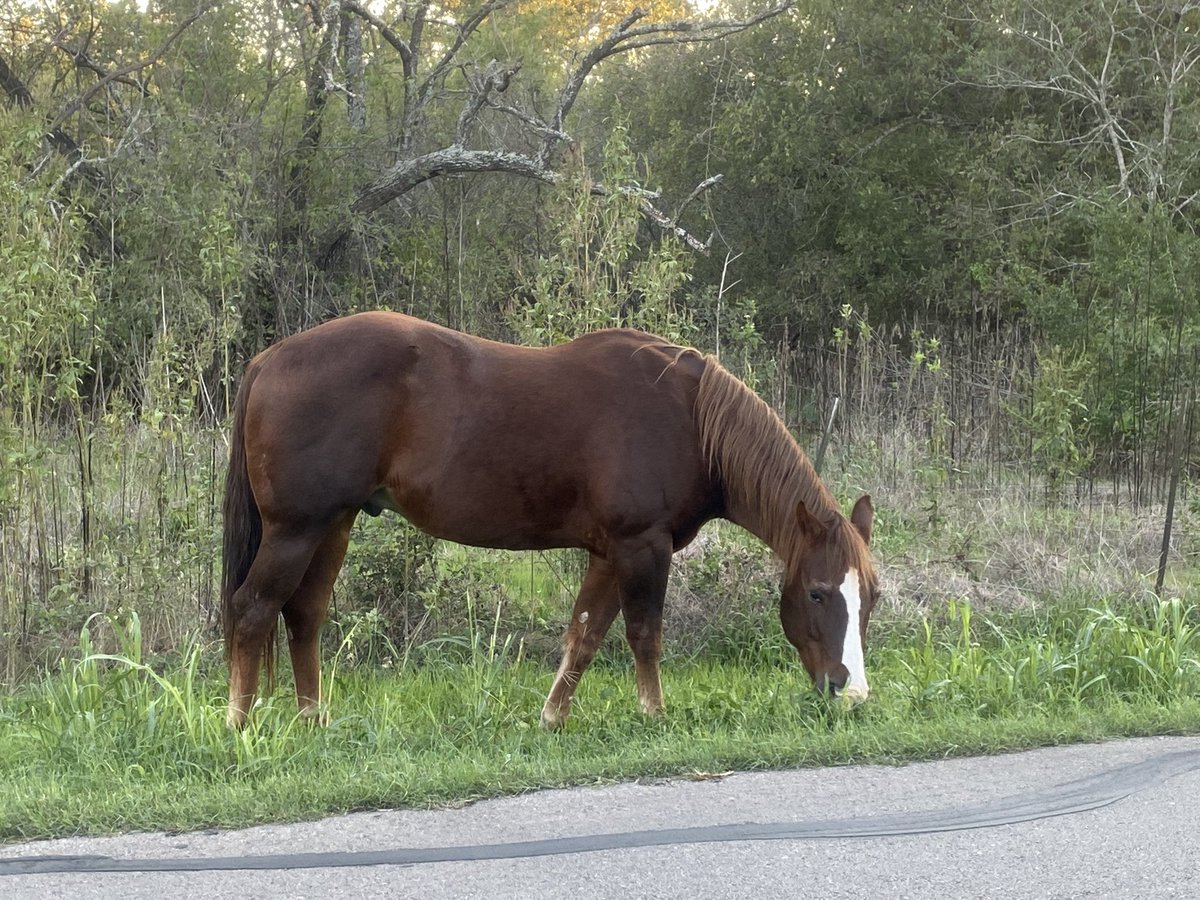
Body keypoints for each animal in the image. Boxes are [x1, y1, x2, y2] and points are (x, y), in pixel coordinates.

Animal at [221, 311, 878, 728]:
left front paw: (552, 718)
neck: (688, 418)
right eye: (817, 593)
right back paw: (238, 723)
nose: (852, 692)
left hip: (333, 526)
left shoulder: (609, 552)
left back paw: (313, 719)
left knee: (303, 616)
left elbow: (584, 635)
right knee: (253, 610)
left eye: (869, 598)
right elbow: (644, 633)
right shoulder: (642, 546)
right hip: (295, 531)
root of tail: (268, 360)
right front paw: (654, 714)